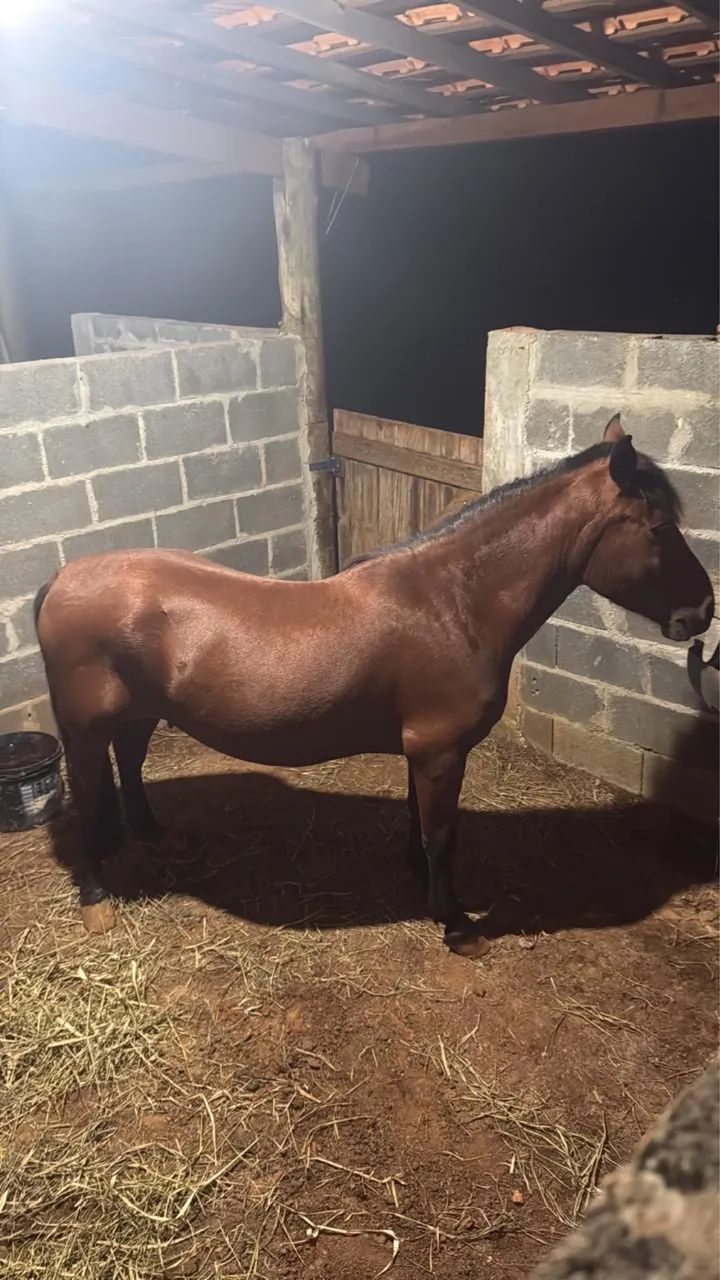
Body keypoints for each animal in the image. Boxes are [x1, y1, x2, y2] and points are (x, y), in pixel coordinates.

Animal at [34, 415, 714, 953]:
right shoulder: (440, 751)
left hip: (138, 712)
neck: (453, 603)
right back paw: (96, 899)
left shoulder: (427, 751)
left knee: (131, 762)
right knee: (89, 792)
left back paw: (155, 836)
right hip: (86, 729)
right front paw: (456, 925)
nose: (702, 612)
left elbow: (420, 821)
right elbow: (443, 834)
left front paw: (418, 878)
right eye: (658, 527)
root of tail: (61, 580)